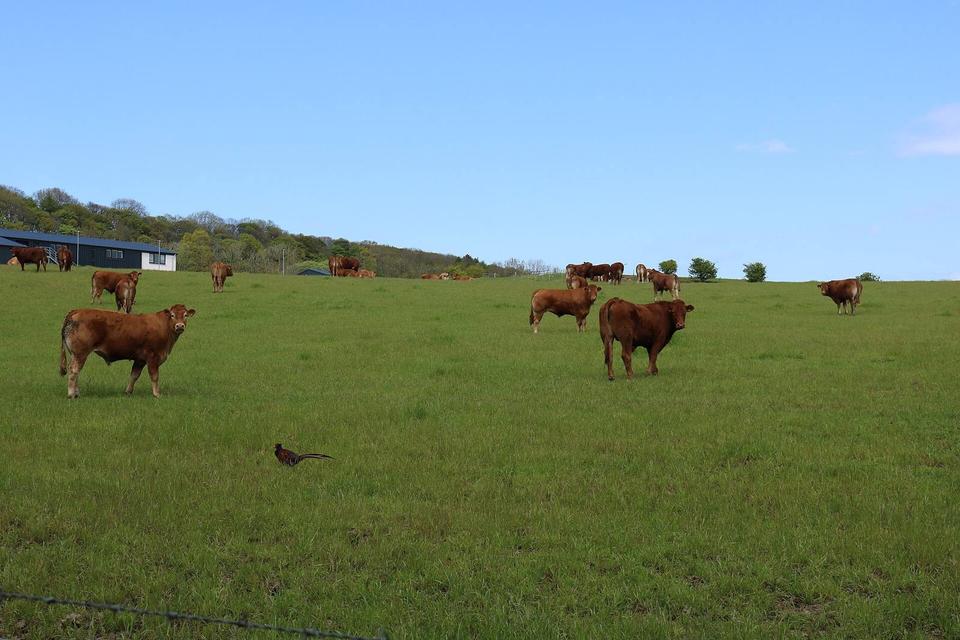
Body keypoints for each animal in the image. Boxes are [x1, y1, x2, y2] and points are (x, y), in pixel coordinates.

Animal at [59, 304, 196, 398]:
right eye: (172, 315)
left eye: (185, 315)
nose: (180, 326)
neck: (164, 326)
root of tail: (76, 311)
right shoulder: (153, 358)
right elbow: (154, 376)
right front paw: (157, 394)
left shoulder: (140, 360)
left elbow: (134, 375)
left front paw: (128, 392)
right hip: (80, 354)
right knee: (74, 371)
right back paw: (71, 394)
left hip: (76, 355)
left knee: (76, 371)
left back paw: (76, 393)